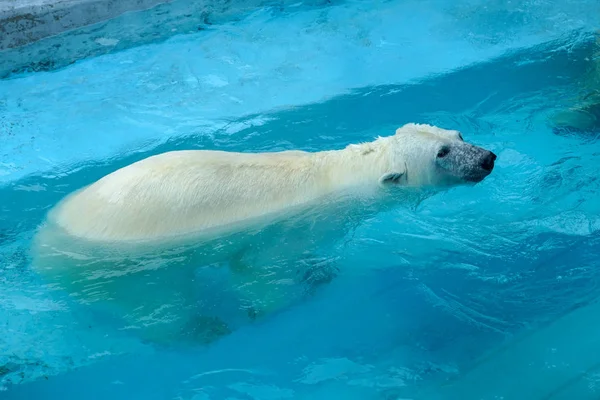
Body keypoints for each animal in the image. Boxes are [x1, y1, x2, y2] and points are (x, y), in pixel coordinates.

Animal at [29, 123, 496, 346]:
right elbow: (257, 272)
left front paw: (319, 271)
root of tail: (41, 247)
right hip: (132, 268)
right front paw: (272, 305)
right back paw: (203, 329)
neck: (336, 178)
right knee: (163, 305)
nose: (488, 158)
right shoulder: (286, 230)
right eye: (442, 153)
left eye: (457, 135)